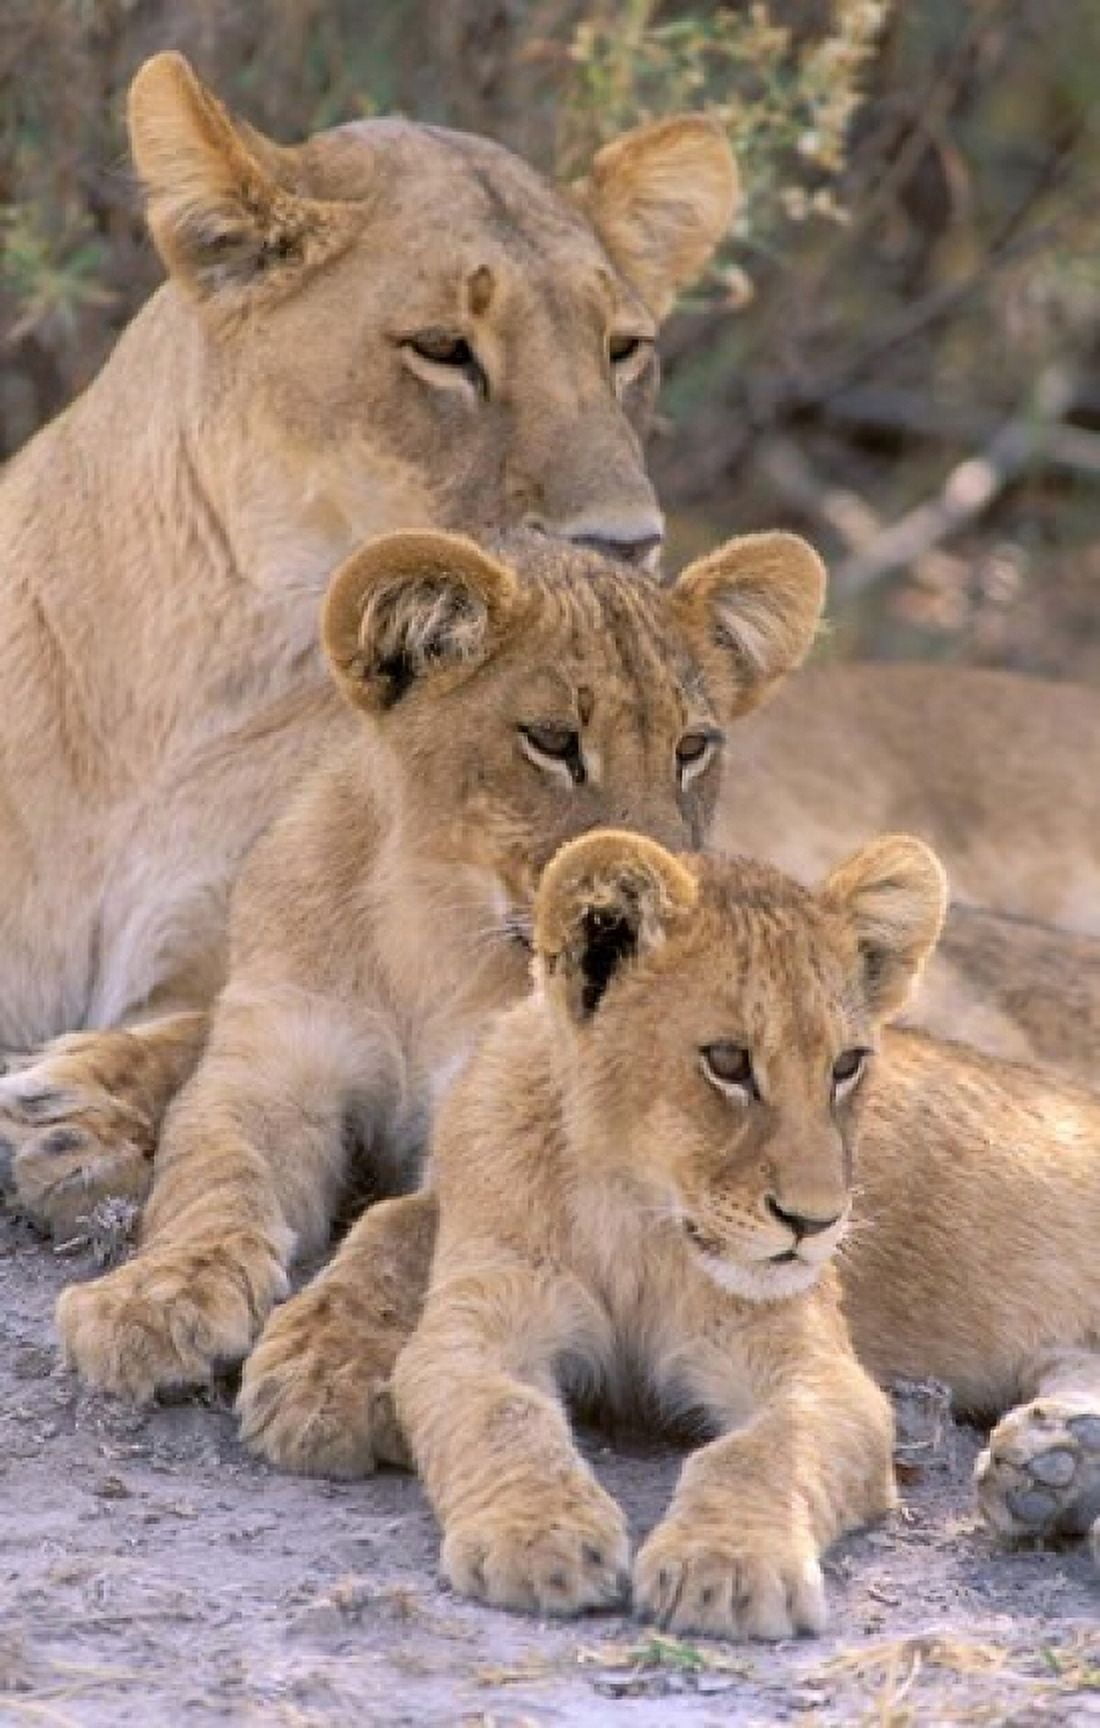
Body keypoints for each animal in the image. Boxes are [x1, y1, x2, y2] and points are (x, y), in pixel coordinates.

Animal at [0, 48, 736, 1202]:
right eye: (442, 350)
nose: (626, 543)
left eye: (624, 350)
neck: (200, 661)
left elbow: (203, 1025)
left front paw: (76, 1103)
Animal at [53, 526, 827, 1387]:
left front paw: (331, 1362)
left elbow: (402, 1227)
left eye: (693, 747)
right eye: (553, 742)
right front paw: (155, 1299)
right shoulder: (272, 1064)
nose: (663, 894)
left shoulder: (497, 1115)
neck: (431, 935)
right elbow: (213, 1174)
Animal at [392, 828, 945, 1638]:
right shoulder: (477, 1319)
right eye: (728, 1061)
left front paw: (728, 1565)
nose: (814, 1222)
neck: (637, 1218)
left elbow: (761, 1449)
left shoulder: (823, 1371)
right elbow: (503, 1410)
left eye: (846, 1065)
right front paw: (539, 1537)